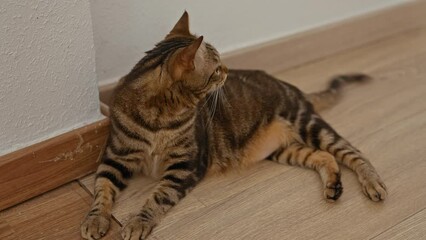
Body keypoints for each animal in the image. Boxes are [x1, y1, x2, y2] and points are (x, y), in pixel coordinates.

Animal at [81, 11, 388, 240]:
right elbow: (102, 189)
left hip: (308, 124)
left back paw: (373, 183)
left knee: (352, 152)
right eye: (216, 69)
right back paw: (333, 186)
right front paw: (96, 220)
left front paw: (137, 222)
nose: (228, 70)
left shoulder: (187, 165)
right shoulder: (116, 157)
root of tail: (293, 88)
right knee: (324, 157)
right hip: (284, 149)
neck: (160, 117)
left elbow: (158, 197)